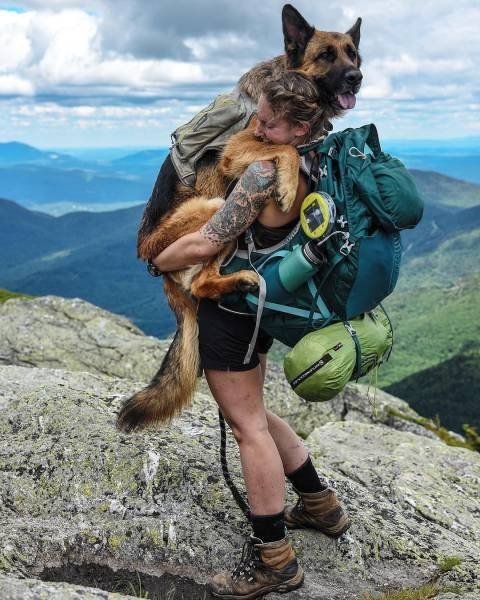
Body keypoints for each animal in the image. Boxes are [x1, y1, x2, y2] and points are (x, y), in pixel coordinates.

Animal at [116, 3, 362, 432]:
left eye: (352, 54)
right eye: (326, 55)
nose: (357, 77)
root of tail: (153, 262)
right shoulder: (240, 149)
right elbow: (287, 150)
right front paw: (286, 183)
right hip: (215, 208)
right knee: (202, 283)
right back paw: (239, 278)